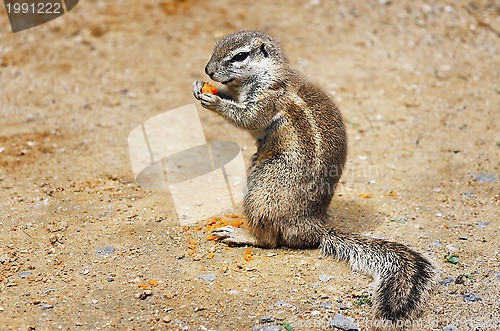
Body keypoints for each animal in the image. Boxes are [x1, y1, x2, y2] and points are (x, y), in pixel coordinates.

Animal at [193, 31, 436, 330]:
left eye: (240, 56)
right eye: (216, 47)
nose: (208, 71)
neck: (266, 73)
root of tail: (313, 227)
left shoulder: (269, 97)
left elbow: (248, 118)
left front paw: (213, 101)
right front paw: (200, 87)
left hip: (262, 189)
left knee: (269, 240)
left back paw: (240, 234)